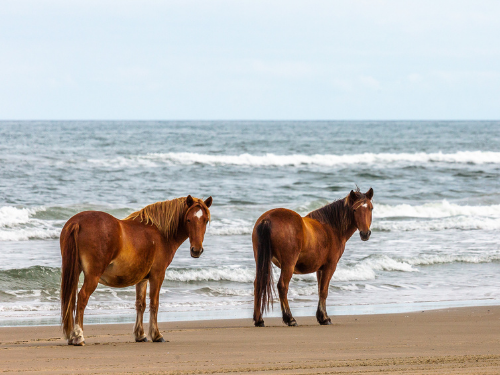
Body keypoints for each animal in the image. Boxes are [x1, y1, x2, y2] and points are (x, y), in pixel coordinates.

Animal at [61, 197, 213, 346]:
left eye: (205, 220)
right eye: (188, 220)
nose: (196, 250)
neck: (160, 233)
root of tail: (77, 222)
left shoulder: (142, 278)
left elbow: (141, 304)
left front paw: (140, 335)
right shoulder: (157, 275)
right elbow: (154, 303)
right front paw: (156, 335)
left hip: (74, 271)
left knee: (70, 300)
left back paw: (72, 336)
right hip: (93, 276)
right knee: (82, 298)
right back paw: (79, 337)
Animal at [252, 189, 374, 328]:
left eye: (371, 208)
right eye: (354, 210)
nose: (365, 233)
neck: (331, 227)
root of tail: (267, 220)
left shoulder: (320, 269)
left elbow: (320, 289)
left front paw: (321, 317)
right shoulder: (330, 266)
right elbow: (324, 291)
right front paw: (325, 318)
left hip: (261, 261)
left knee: (258, 284)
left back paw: (259, 320)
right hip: (288, 264)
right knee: (282, 286)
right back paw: (290, 319)